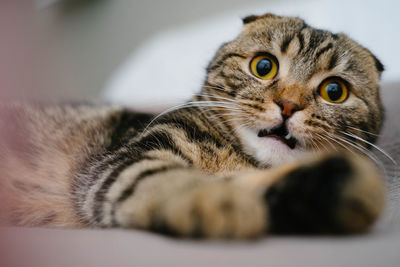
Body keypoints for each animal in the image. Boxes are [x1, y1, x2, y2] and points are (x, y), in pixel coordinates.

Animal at [0, 13, 388, 239]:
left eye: (334, 91)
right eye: (264, 66)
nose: (288, 105)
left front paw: (334, 187)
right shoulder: (128, 159)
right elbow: (165, 177)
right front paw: (211, 198)